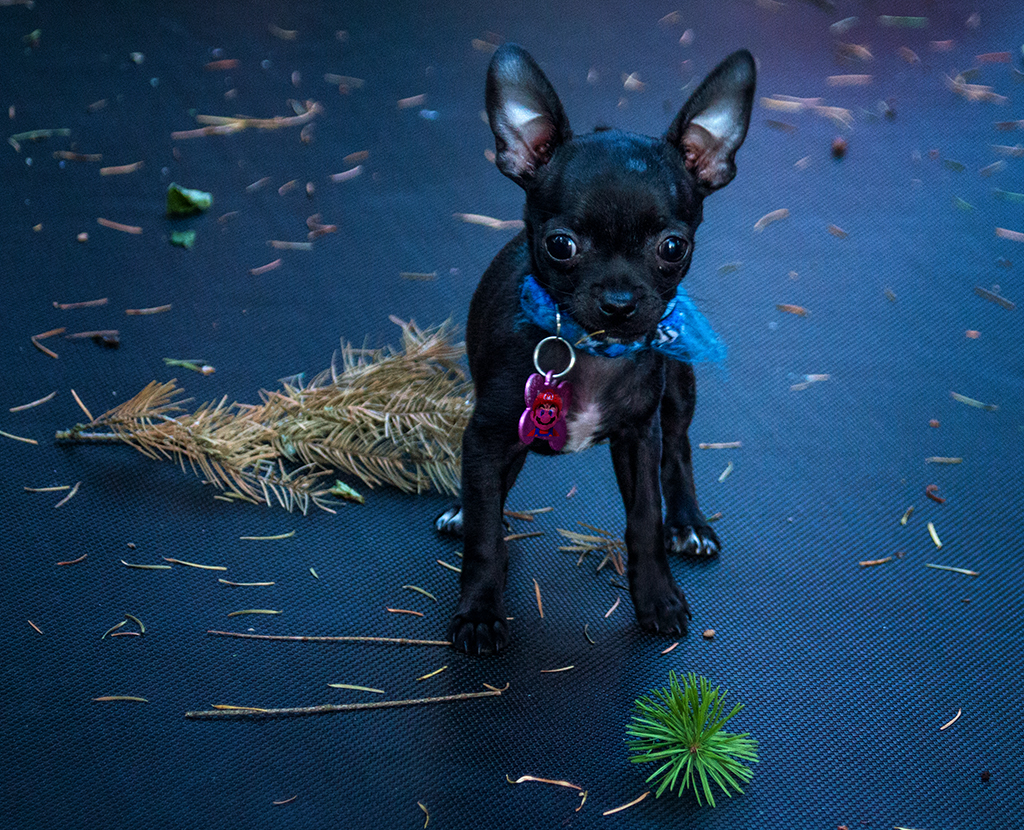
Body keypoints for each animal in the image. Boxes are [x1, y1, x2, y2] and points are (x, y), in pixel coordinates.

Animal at [436, 43, 757, 654]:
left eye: (673, 248)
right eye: (561, 246)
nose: (620, 300)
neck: (589, 352)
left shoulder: (638, 437)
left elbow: (645, 520)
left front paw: (658, 597)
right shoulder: (486, 436)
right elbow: (486, 536)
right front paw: (480, 611)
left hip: (677, 392)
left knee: (679, 450)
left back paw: (689, 522)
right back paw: (465, 509)